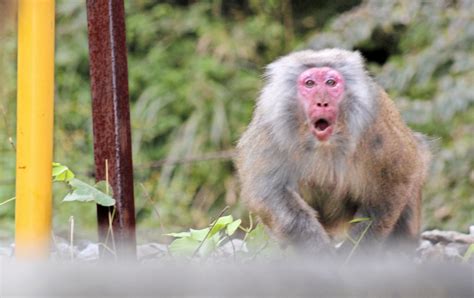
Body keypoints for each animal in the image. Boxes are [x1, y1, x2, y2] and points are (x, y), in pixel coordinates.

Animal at [235, 49, 432, 256]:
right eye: (310, 83)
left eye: (330, 83)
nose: (322, 102)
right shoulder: (270, 127)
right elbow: (269, 190)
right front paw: (317, 249)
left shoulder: (375, 122)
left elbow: (397, 179)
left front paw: (355, 253)